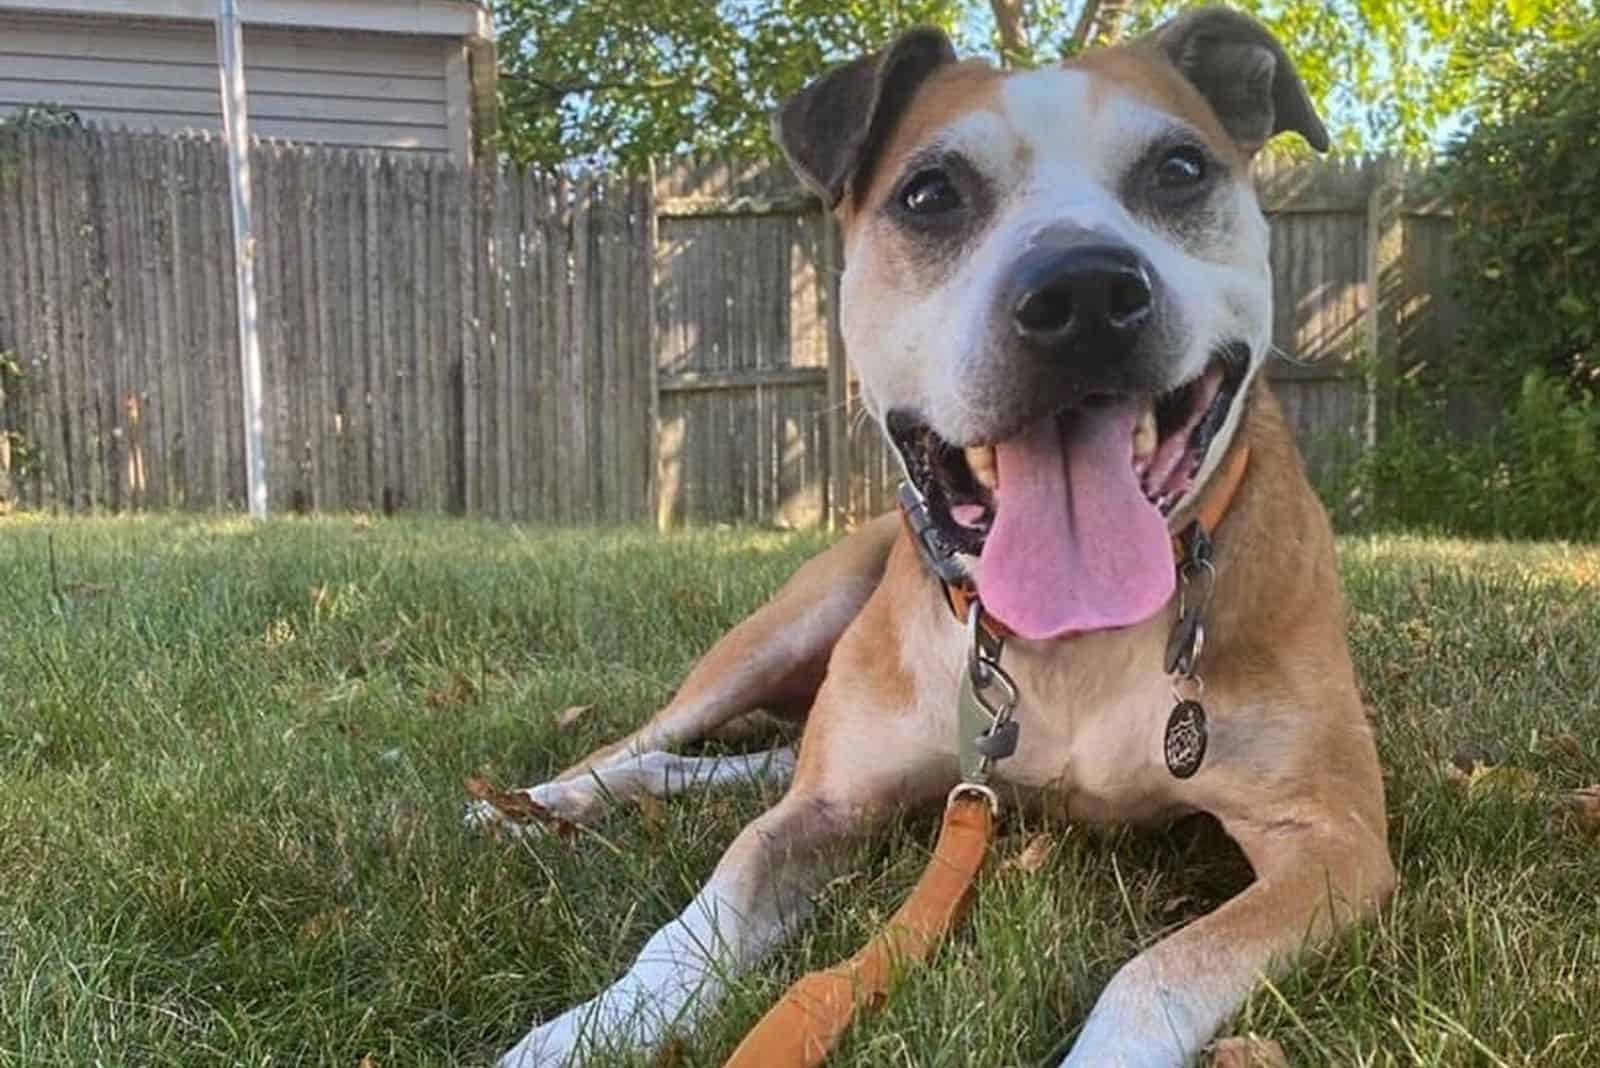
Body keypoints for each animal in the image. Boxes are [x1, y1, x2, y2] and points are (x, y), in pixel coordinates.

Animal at [480, 6, 1395, 1061]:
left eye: (1178, 170)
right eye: (930, 193)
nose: (1082, 290)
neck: (1063, 646)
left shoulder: (1331, 840)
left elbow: (1157, 971)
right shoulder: (820, 812)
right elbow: (699, 919)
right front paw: (585, 1028)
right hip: (782, 629)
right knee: (646, 742)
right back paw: (532, 804)